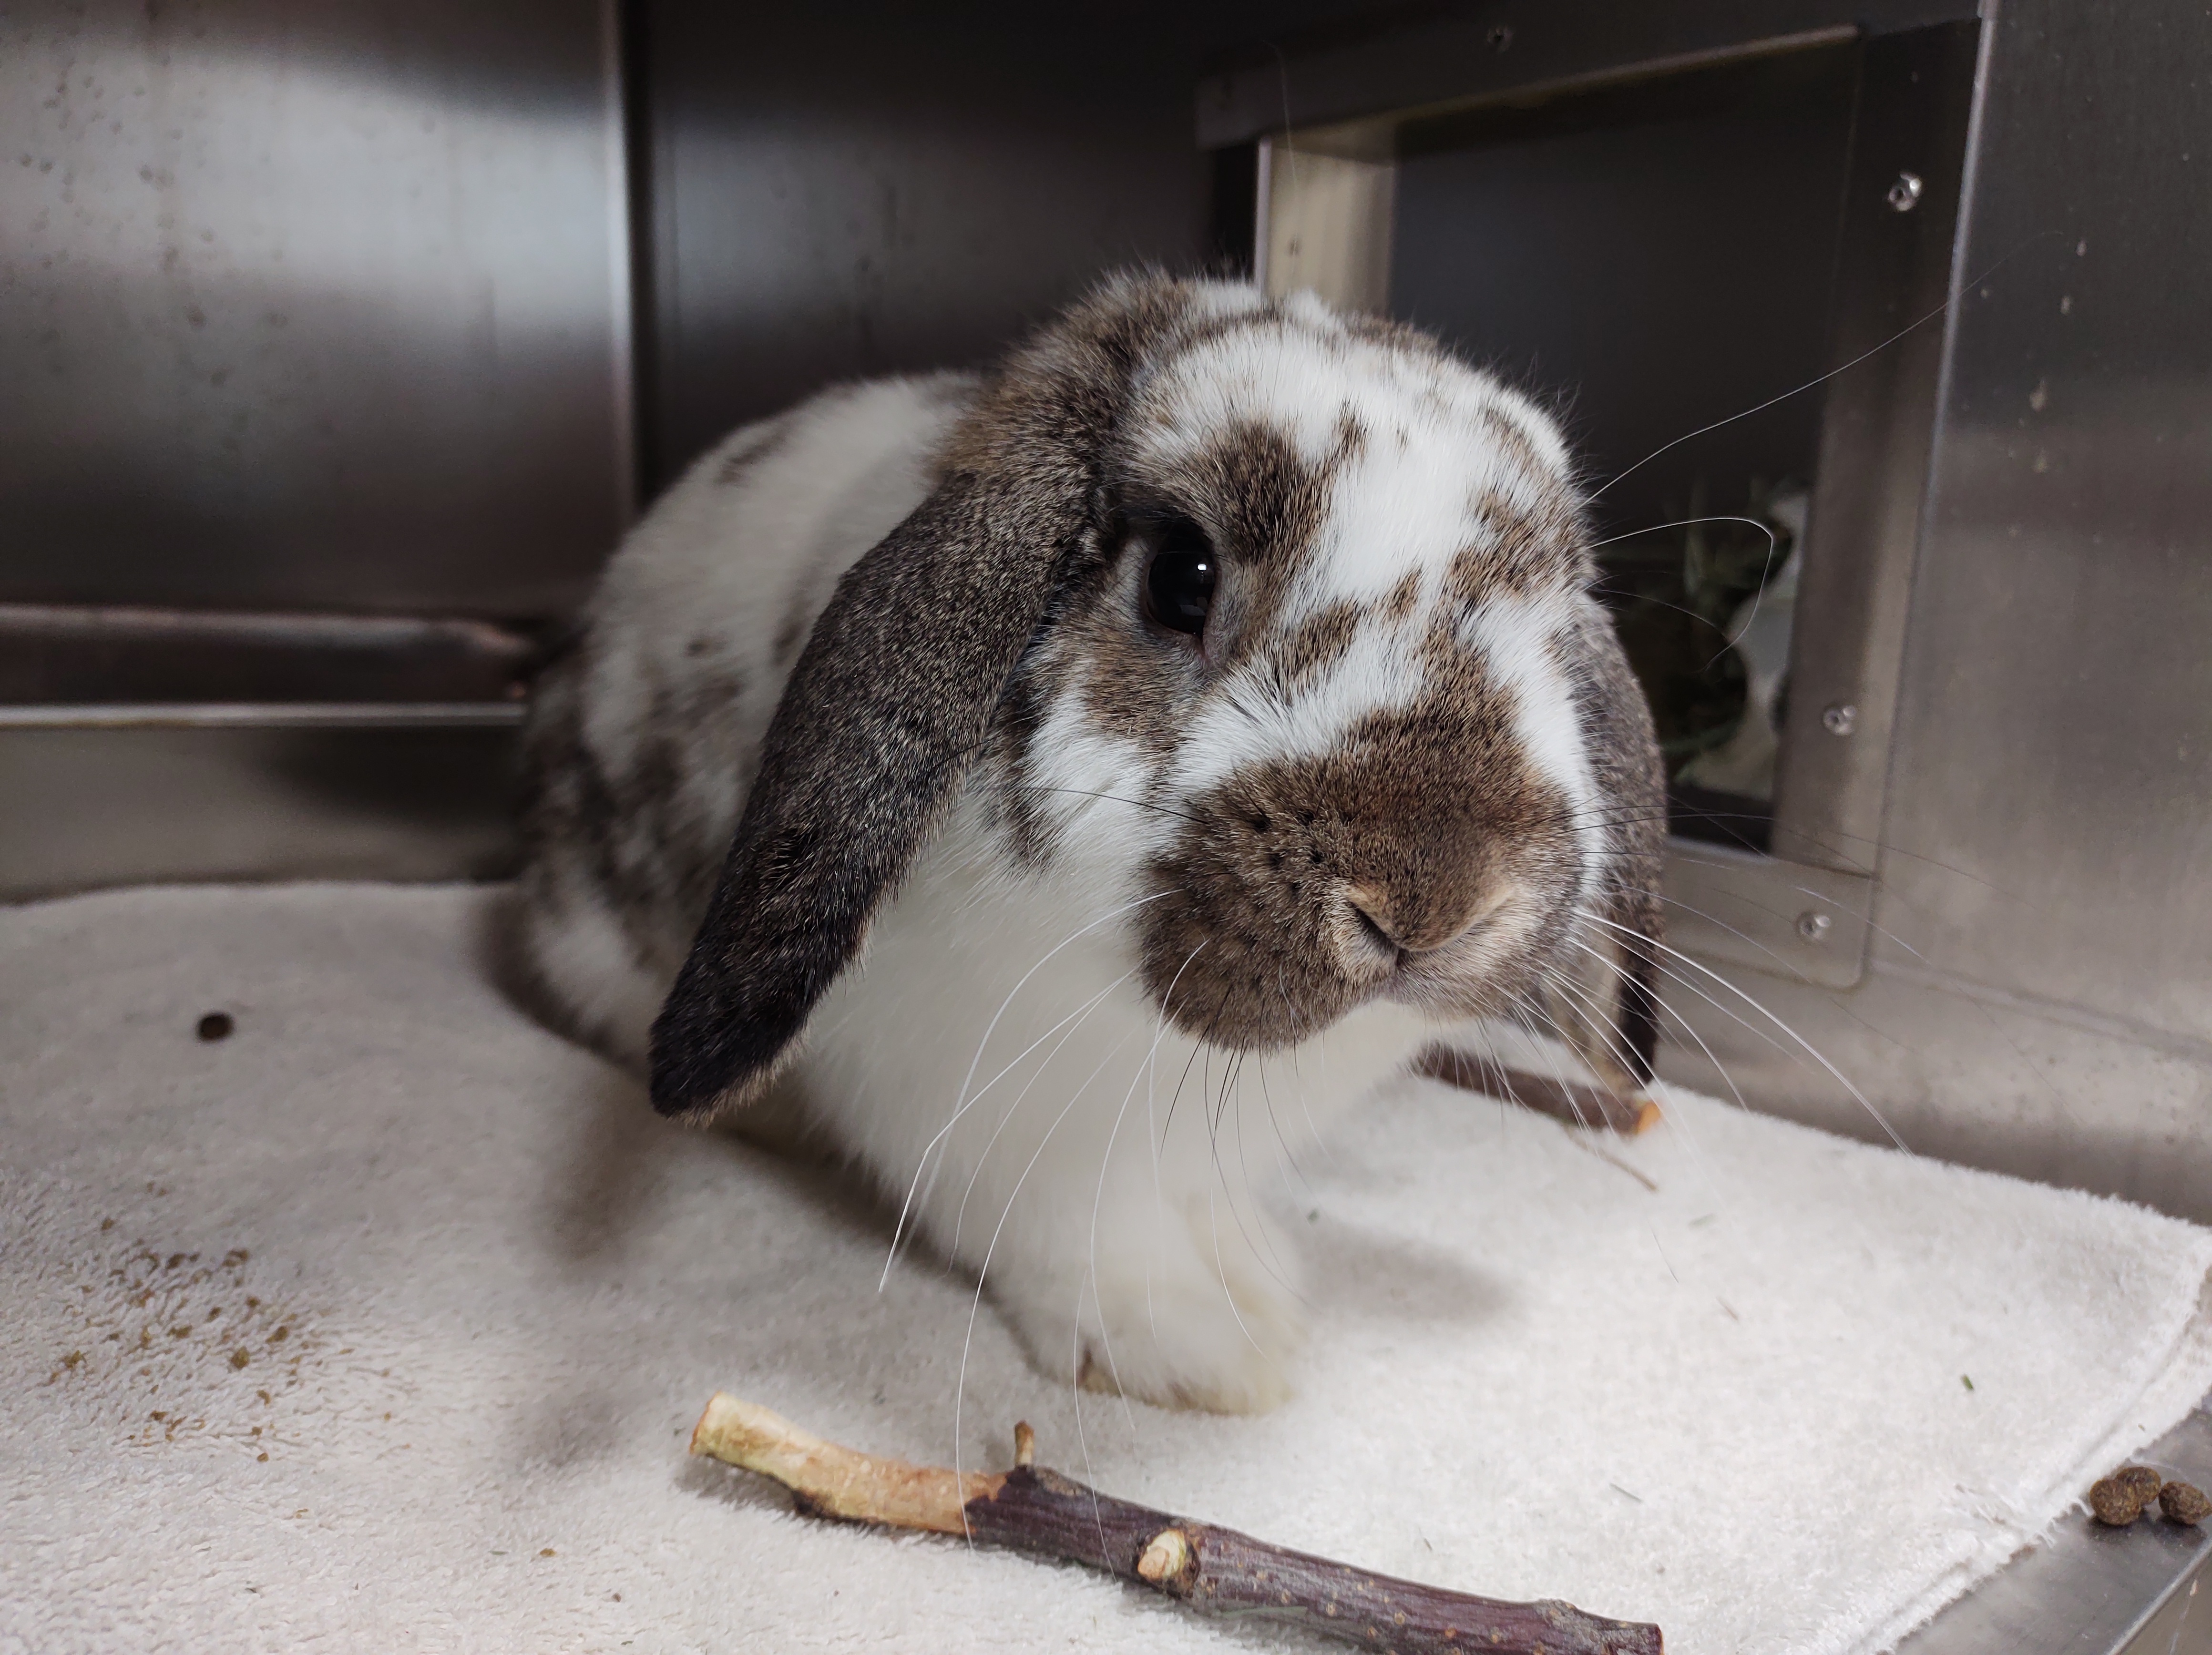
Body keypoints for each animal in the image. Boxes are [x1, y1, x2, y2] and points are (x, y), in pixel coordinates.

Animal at [515, 273, 1664, 1414]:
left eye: (1554, 625)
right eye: (1182, 576)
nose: (1434, 902)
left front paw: (1258, 1289)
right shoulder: (990, 1126)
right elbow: (1085, 1243)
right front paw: (1204, 1346)